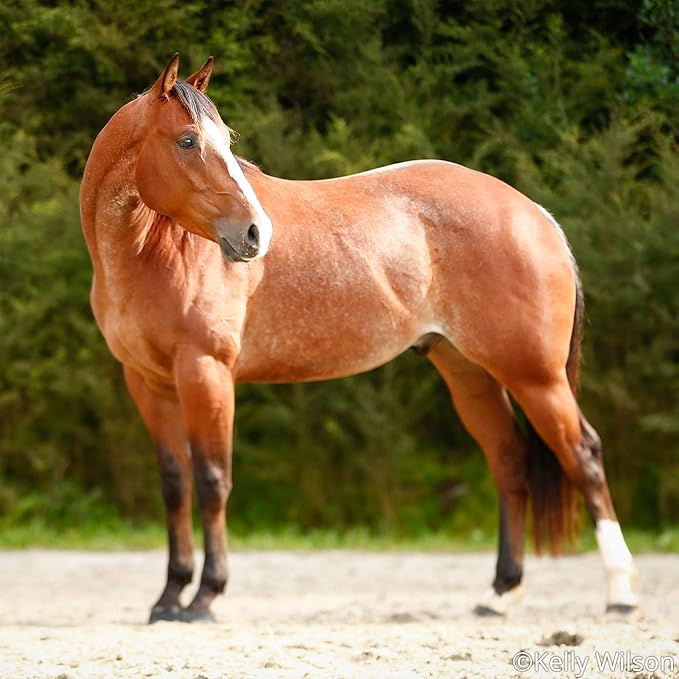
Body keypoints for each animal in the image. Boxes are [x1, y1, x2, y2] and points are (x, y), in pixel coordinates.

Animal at [79, 55, 636, 624]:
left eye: (225, 140)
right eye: (188, 140)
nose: (256, 233)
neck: (156, 256)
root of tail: (535, 216)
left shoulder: (205, 372)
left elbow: (213, 481)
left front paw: (205, 597)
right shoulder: (149, 383)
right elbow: (175, 486)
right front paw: (169, 597)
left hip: (535, 377)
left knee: (584, 456)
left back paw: (620, 594)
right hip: (470, 375)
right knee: (509, 463)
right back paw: (500, 593)